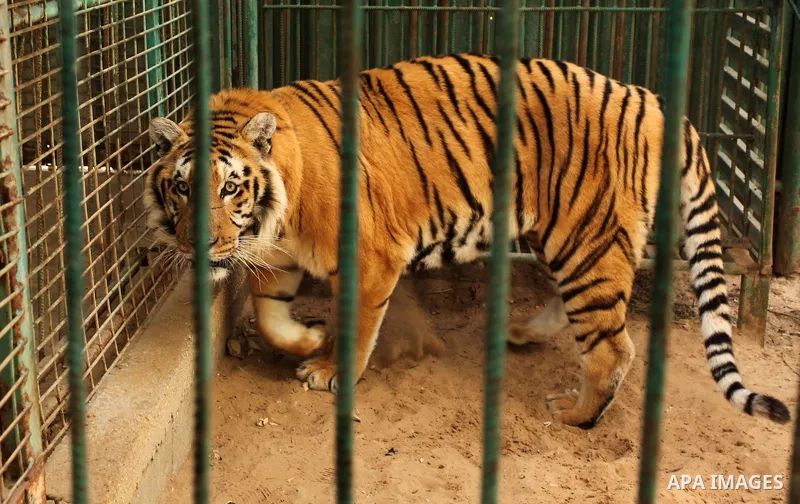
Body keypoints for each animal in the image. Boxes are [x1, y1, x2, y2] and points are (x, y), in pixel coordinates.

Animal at [144, 53, 790, 429]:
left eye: (230, 188)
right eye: (181, 188)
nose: (200, 247)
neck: (273, 216)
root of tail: (654, 101)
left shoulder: (371, 257)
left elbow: (357, 327)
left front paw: (330, 370)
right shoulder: (279, 260)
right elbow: (272, 319)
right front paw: (308, 340)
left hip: (586, 239)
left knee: (613, 346)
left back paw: (574, 413)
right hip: (568, 239)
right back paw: (521, 335)